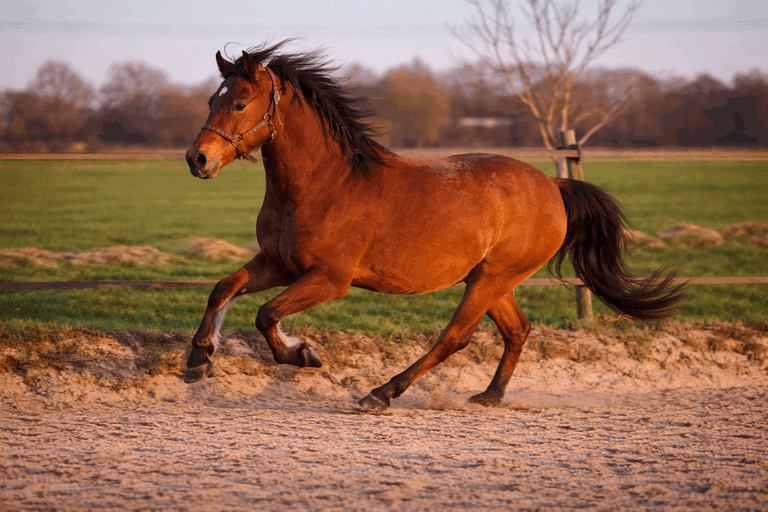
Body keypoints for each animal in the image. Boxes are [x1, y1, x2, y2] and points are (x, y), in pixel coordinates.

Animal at [183, 41, 685, 411]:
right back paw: (489, 396)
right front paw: (198, 360)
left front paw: (302, 353)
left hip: (491, 278)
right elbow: (223, 289)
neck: (323, 184)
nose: (197, 159)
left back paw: (381, 394)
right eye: (211, 100)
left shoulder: (330, 279)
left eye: (240, 103)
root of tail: (552, 186)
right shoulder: (278, 263)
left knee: (455, 337)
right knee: (517, 330)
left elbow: (267, 314)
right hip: (490, 279)